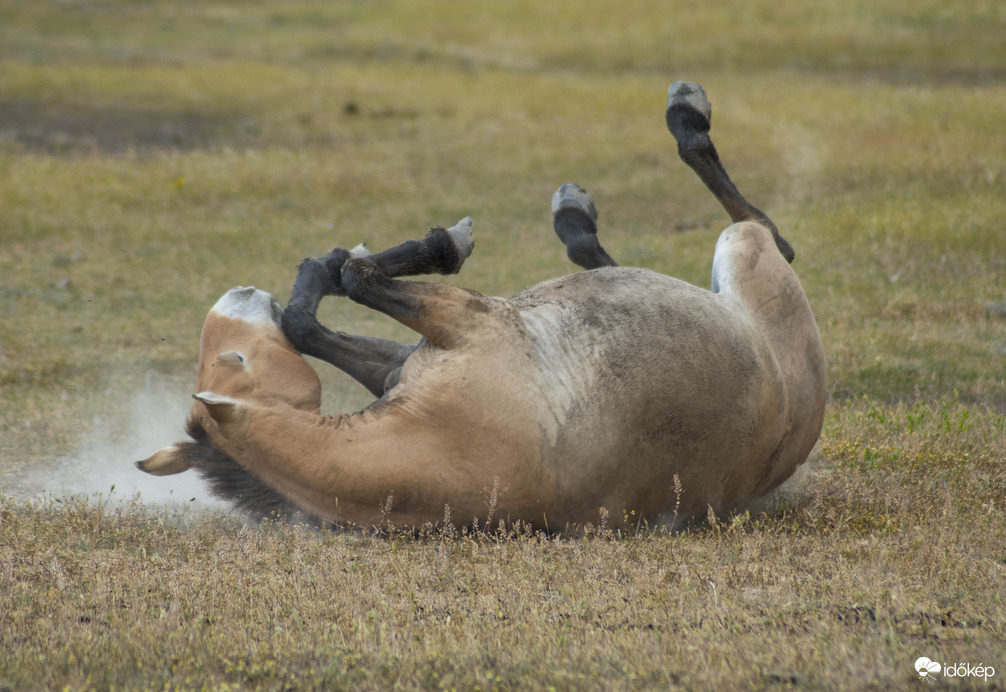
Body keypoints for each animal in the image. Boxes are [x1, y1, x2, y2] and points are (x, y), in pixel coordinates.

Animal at [135, 80, 824, 531]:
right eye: (236, 359)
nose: (240, 294)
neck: (436, 448)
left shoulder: (408, 359)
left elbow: (313, 316)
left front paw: (321, 265)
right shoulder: (468, 319)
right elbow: (361, 278)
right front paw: (445, 242)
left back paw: (584, 207)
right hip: (745, 254)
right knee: (764, 226)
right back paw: (675, 122)